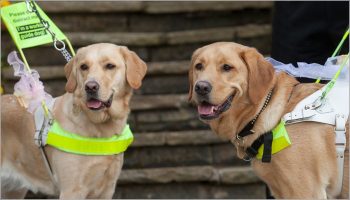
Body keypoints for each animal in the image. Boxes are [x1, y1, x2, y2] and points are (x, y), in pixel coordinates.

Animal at [1, 43, 147, 198]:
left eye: (110, 66)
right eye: (84, 66)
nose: (90, 87)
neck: (100, 127)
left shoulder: (107, 189)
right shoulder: (72, 190)